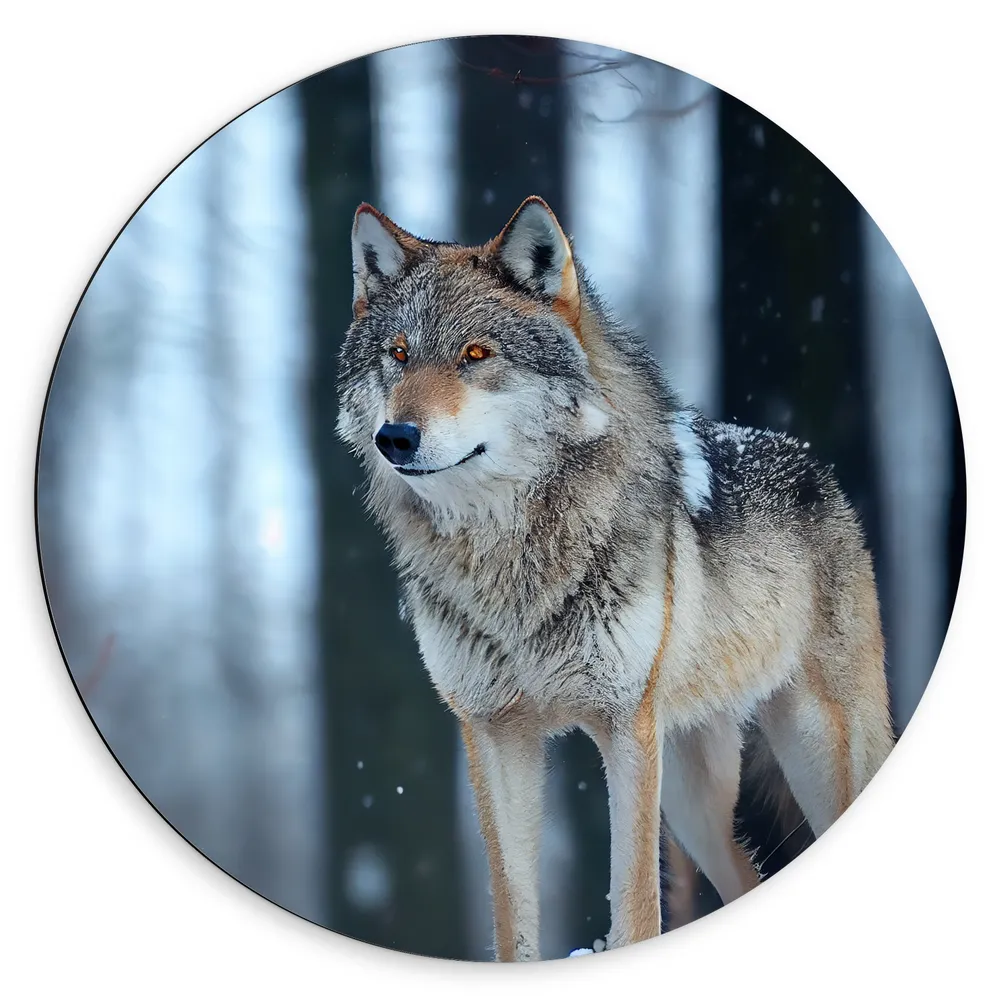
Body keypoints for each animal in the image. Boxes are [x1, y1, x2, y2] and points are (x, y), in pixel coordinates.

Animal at [336, 195, 894, 961]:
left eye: (476, 355)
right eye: (397, 355)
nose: (396, 437)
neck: (511, 562)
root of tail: (811, 462)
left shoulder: (625, 727)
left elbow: (635, 909)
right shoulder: (494, 732)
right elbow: (513, 916)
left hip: (810, 750)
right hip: (693, 796)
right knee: (744, 880)